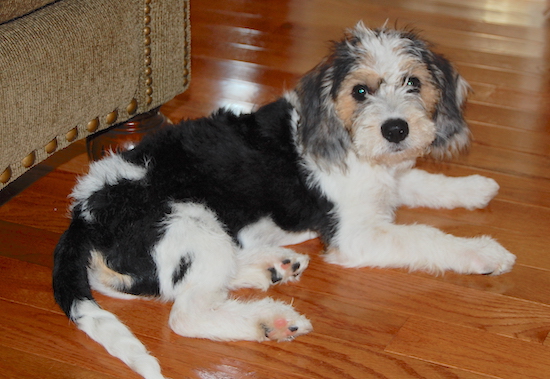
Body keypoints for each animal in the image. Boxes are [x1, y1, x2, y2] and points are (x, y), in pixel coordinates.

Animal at [51, 22, 516, 378]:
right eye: (360, 92)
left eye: (413, 82)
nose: (396, 129)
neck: (347, 140)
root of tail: (84, 215)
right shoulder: (356, 236)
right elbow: (424, 236)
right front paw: (484, 252)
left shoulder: (390, 178)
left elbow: (419, 180)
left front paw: (475, 187)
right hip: (191, 222)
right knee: (187, 312)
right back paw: (270, 319)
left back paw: (271, 266)